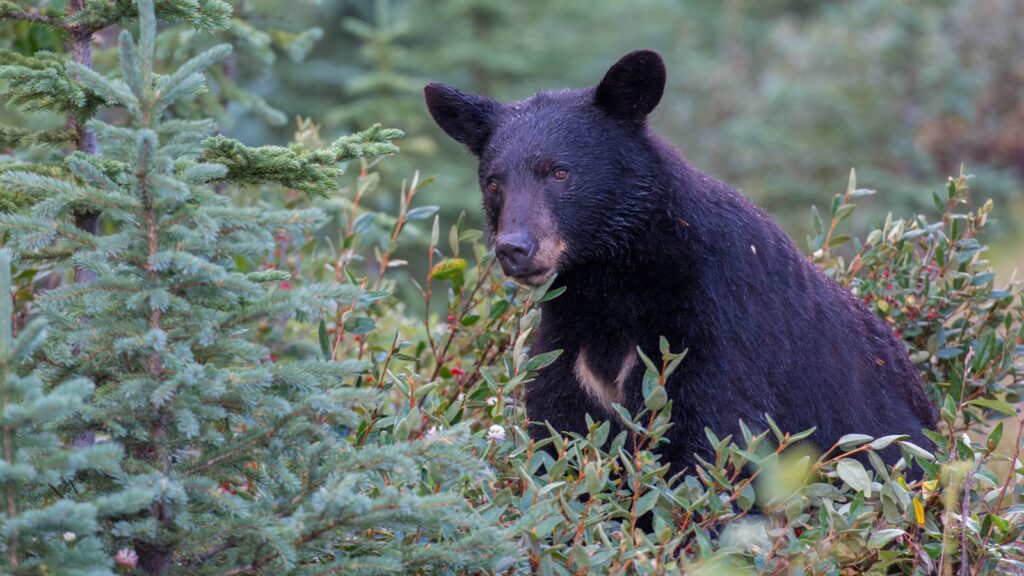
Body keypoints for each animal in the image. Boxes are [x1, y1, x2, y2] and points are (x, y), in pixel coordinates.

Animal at [423, 49, 937, 471]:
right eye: (493, 181)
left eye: (560, 172)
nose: (514, 248)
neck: (614, 279)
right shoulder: (566, 344)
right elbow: (560, 436)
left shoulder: (713, 326)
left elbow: (712, 441)